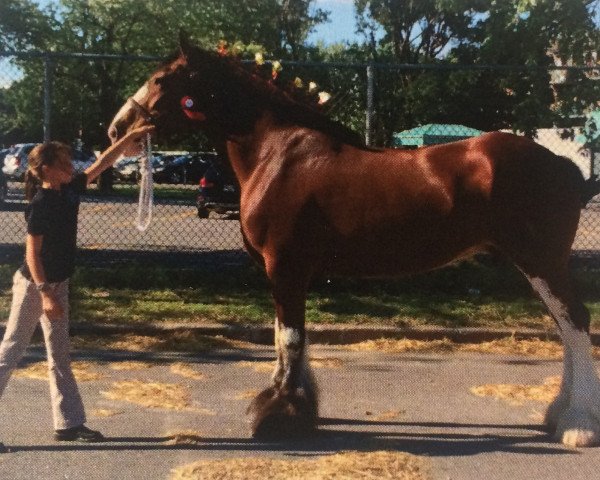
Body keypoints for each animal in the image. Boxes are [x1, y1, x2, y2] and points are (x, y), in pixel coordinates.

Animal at [109, 39, 600, 448]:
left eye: (160, 79)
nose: (117, 129)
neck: (278, 153)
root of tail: (563, 166)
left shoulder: (284, 266)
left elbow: (289, 338)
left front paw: (280, 415)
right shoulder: (289, 271)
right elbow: (287, 336)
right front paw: (297, 405)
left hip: (542, 261)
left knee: (575, 323)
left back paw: (577, 425)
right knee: (566, 327)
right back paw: (558, 415)